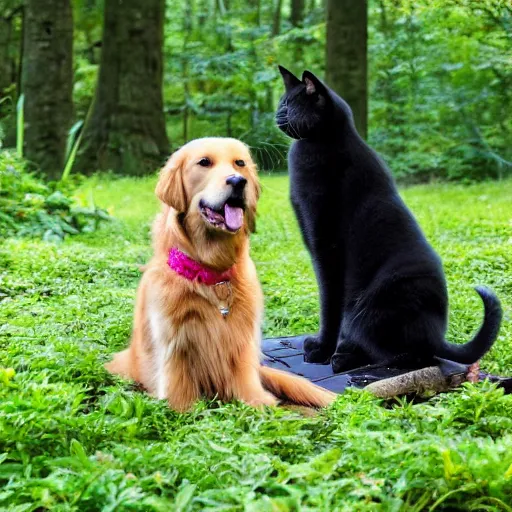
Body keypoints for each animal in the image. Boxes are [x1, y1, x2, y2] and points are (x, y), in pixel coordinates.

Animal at [274, 66, 502, 374]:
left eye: (288, 104)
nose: (277, 113)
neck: (326, 140)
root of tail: (437, 334)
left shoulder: (326, 246)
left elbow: (329, 305)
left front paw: (321, 349)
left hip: (372, 309)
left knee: (413, 356)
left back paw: (344, 358)